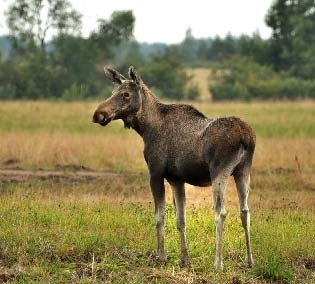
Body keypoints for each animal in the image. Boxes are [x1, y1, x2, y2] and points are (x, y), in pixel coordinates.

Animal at [92, 66, 256, 270]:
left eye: (126, 94)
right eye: (113, 91)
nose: (98, 114)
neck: (145, 128)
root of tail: (246, 136)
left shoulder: (155, 173)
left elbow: (159, 217)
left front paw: (161, 256)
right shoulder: (176, 178)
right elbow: (180, 219)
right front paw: (185, 259)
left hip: (220, 171)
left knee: (221, 213)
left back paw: (218, 264)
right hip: (243, 170)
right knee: (245, 211)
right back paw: (250, 260)